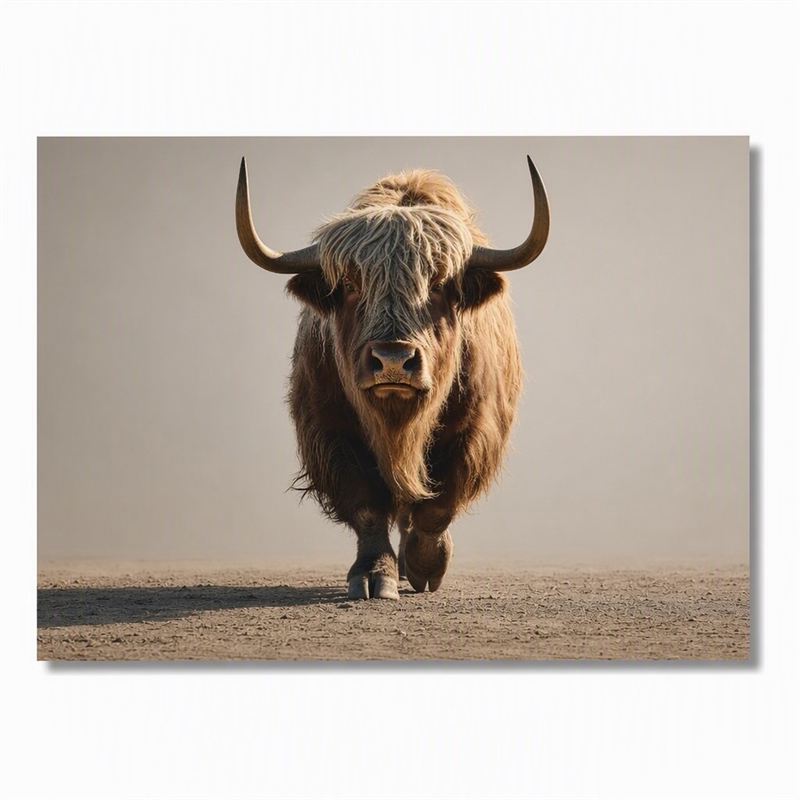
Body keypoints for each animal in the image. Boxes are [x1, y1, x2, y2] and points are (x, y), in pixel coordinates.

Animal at [235, 155, 549, 600]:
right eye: (351, 284)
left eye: (439, 284)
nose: (394, 360)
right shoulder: (330, 432)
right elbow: (367, 506)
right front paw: (374, 575)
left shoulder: (475, 431)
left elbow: (437, 504)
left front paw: (426, 564)